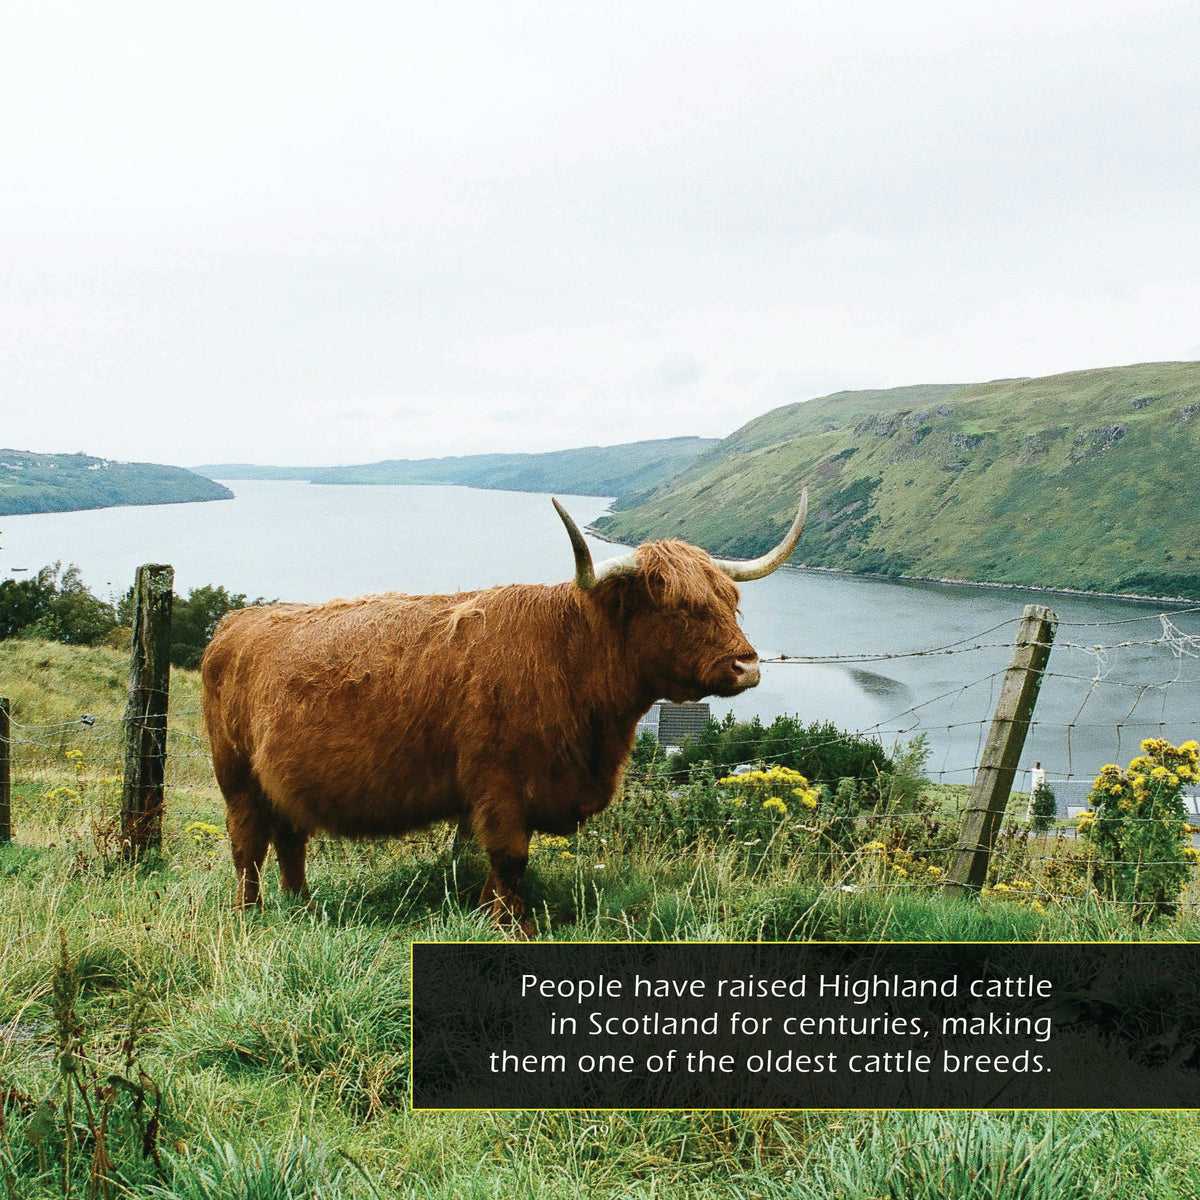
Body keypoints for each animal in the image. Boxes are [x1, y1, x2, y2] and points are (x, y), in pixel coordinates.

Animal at [200, 492, 807, 933]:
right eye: (678, 606)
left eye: (731, 601)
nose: (747, 666)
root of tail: (235, 624)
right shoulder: (499, 786)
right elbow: (510, 861)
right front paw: (512, 928)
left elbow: (497, 869)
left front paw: (493, 916)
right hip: (237, 777)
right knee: (247, 845)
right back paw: (250, 916)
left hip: (282, 782)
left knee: (290, 842)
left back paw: (303, 909)